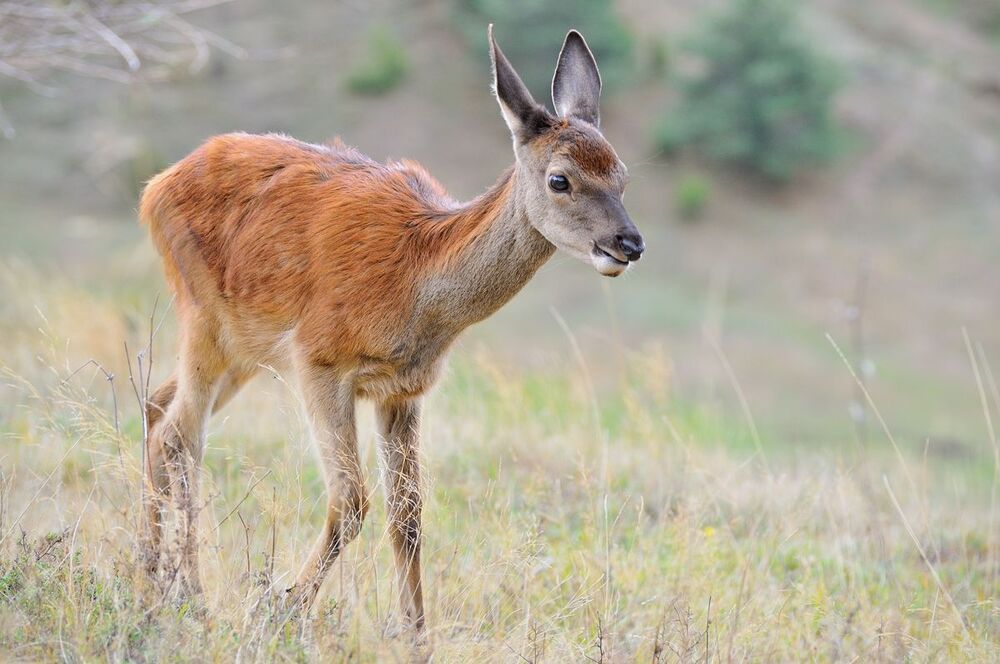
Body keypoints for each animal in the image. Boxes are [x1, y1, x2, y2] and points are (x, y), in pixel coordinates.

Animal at [138, 25, 644, 631]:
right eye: (559, 179)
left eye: (622, 174)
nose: (629, 243)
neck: (416, 285)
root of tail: (153, 187)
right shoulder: (319, 359)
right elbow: (352, 500)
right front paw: (283, 607)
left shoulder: (403, 389)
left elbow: (408, 514)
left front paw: (415, 633)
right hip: (203, 314)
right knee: (180, 435)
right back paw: (191, 593)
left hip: (242, 346)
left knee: (156, 408)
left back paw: (147, 572)